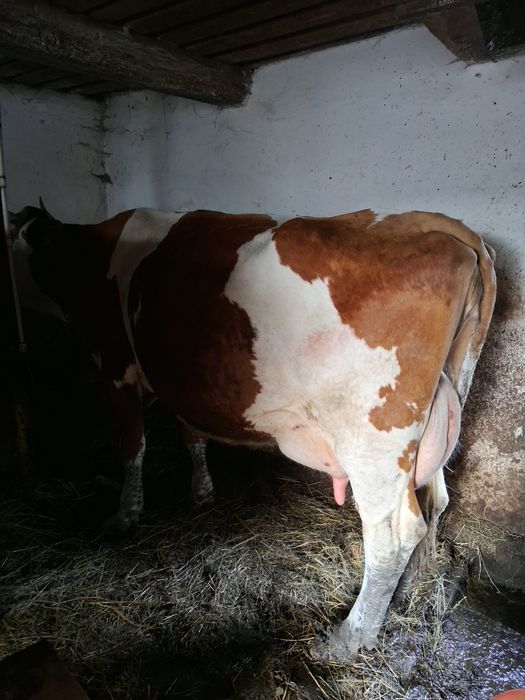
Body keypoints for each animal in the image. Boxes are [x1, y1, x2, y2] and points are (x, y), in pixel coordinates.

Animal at [9, 204, 496, 660]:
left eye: (16, 243)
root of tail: (431, 222)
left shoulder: (116, 367)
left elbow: (133, 446)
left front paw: (125, 514)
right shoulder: (182, 383)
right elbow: (192, 435)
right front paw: (201, 492)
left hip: (374, 438)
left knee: (393, 536)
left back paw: (349, 638)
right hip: (438, 414)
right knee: (435, 501)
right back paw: (410, 588)